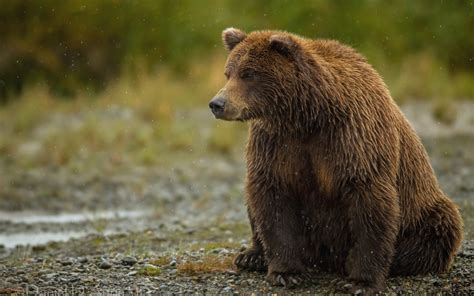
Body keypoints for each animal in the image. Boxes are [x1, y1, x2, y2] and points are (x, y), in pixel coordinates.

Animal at [208, 28, 462, 294]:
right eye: (228, 73)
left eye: (249, 74)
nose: (217, 104)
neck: (306, 117)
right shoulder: (275, 144)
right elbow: (273, 199)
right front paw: (285, 272)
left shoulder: (354, 139)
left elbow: (369, 203)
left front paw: (360, 281)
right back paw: (252, 256)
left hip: (424, 211)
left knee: (437, 230)